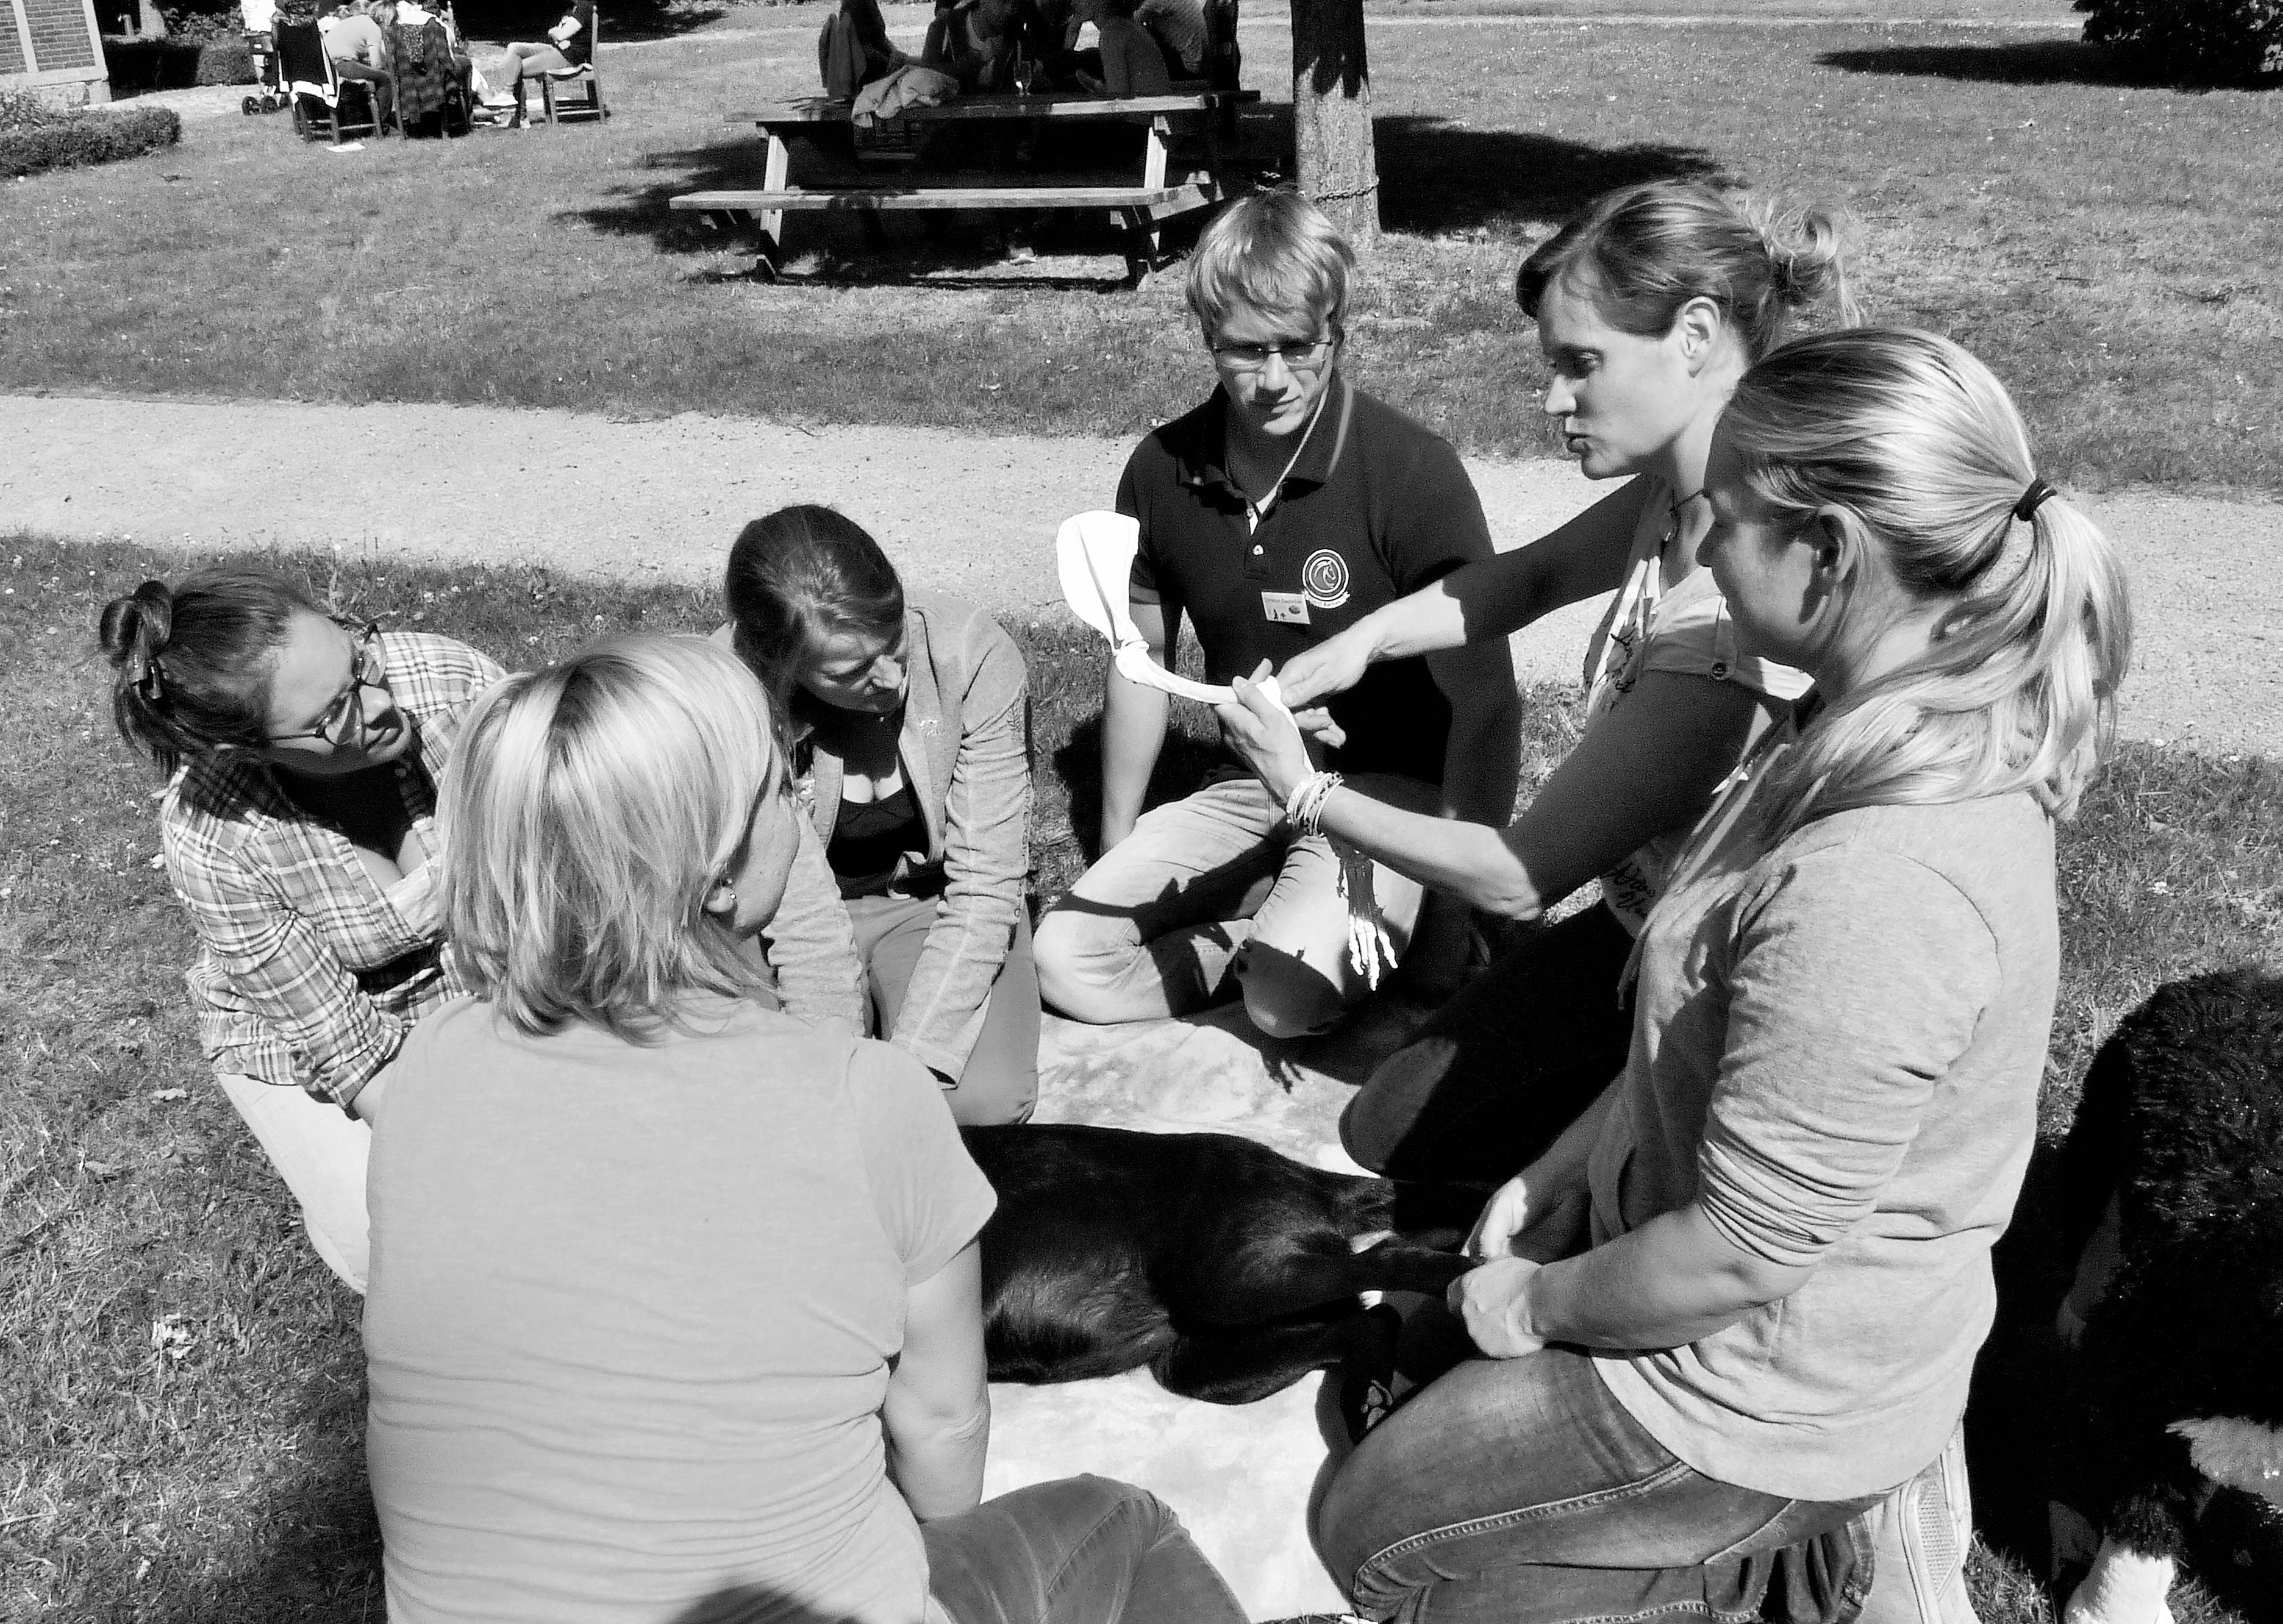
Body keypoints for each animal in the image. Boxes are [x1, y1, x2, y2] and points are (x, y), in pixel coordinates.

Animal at [963, 1131, 1479, 1405]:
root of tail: (1298, 1174)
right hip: (1199, 1360)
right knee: (1366, 1322)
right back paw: (1363, 1404)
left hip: (1234, 1280)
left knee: (1385, 1258)